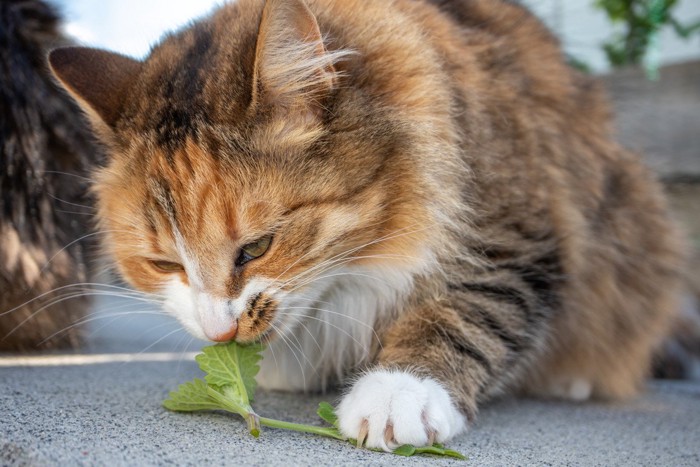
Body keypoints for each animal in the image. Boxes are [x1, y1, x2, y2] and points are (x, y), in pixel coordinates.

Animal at [47, 0, 684, 452]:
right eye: (165, 264)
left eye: (257, 248)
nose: (220, 334)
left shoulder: (515, 234)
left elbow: (462, 315)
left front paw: (398, 395)